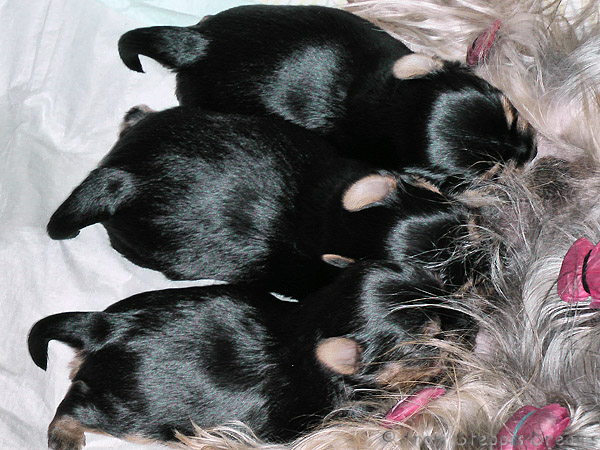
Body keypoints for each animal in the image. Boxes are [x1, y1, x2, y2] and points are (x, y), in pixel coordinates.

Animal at [28, 260, 472, 449]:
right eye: (432, 341)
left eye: (441, 286)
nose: (473, 325)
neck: (311, 322)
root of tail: (104, 326)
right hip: (131, 413)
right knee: (73, 407)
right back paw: (65, 436)